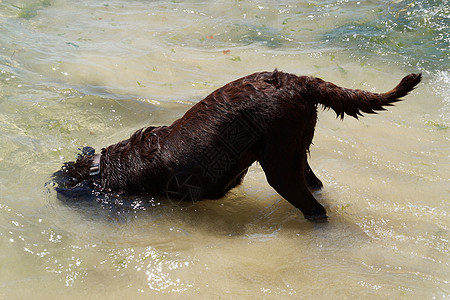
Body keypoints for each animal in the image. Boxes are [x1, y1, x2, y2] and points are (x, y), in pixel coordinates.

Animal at [53, 70, 422, 220]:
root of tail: (295, 81)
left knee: (313, 208)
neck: (107, 167)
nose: (53, 187)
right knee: (315, 183)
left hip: (278, 165)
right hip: (296, 151)